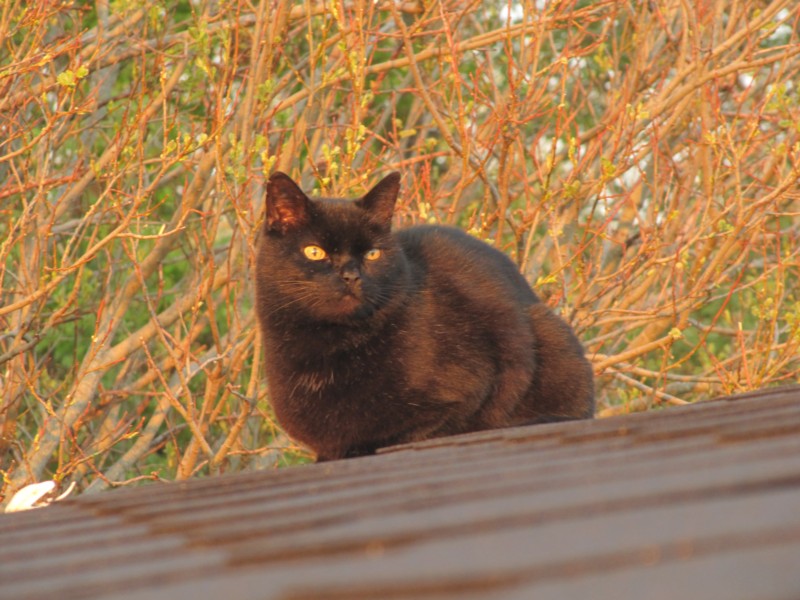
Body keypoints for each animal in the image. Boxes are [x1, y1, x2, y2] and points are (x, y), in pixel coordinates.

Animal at [256, 171, 592, 462]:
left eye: (372, 254)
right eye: (315, 252)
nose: (351, 275)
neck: (327, 346)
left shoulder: (471, 389)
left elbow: (401, 432)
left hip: (547, 331)